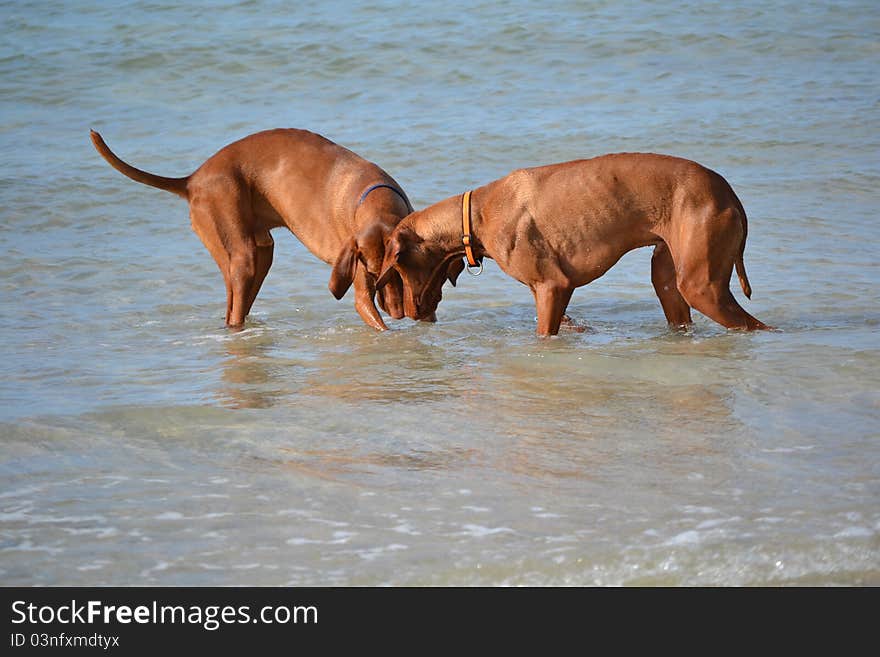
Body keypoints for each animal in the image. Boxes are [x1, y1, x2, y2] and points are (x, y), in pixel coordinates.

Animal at [89, 129, 440, 330]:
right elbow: (370, 313)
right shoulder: (359, 279)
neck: (375, 201)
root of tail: (193, 179)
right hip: (240, 255)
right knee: (234, 310)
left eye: (398, 275)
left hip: (261, 255)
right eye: (375, 275)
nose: (398, 313)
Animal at [376, 154, 768, 336]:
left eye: (397, 267)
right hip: (669, 277)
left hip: (702, 286)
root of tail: (727, 191)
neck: (479, 213)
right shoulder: (556, 294)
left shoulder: (552, 286)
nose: (406, 315)